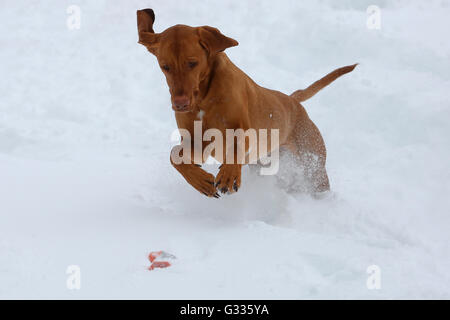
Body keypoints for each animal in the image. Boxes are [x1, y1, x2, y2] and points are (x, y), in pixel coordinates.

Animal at [136, 8, 356, 198]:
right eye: (165, 66)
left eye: (192, 63)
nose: (180, 104)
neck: (203, 98)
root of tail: (293, 100)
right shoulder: (199, 143)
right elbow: (175, 155)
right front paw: (201, 181)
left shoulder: (245, 132)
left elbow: (237, 145)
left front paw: (229, 176)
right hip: (266, 163)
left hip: (314, 166)